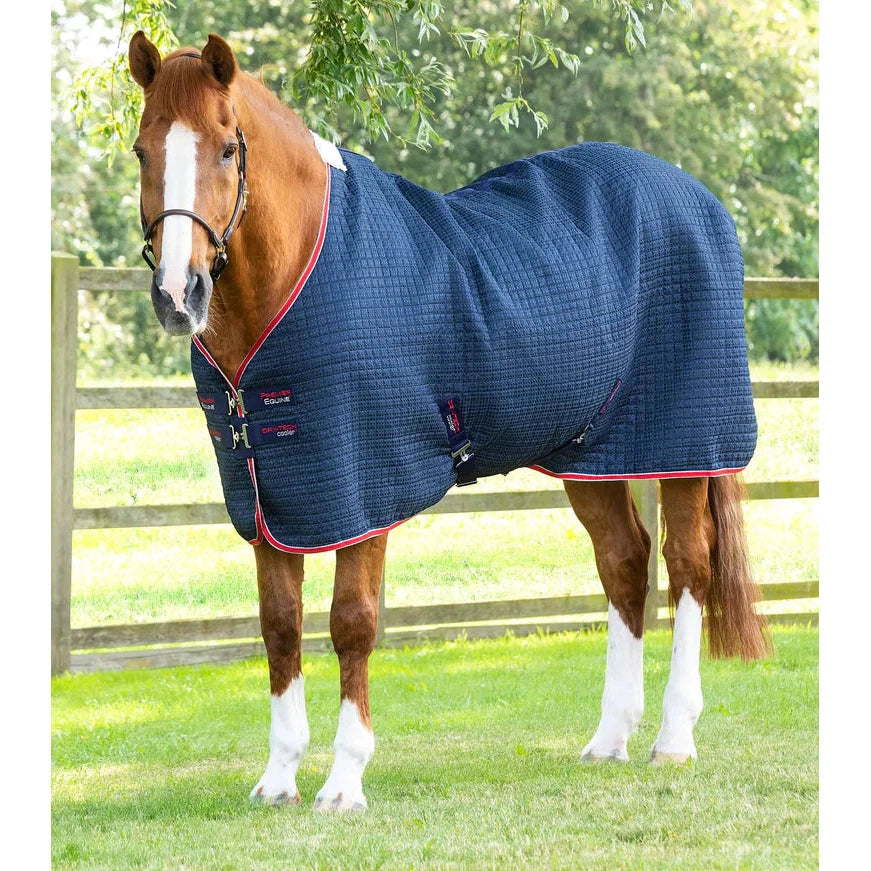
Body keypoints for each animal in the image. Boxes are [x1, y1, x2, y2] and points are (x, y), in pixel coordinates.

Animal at [128, 31, 770, 811]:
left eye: (226, 148)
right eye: (142, 150)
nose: (177, 295)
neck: (298, 273)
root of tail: (699, 198)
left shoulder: (363, 487)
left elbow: (351, 622)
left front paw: (344, 781)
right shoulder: (273, 495)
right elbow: (279, 625)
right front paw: (278, 777)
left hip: (681, 443)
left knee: (687, 567)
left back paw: (673, 739)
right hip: (590, 452)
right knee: (624, 561)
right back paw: (609, 738)